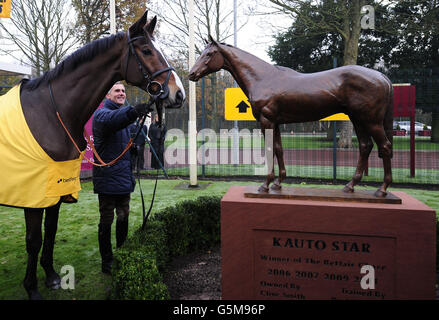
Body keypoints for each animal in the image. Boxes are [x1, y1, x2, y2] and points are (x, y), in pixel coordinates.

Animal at [0, 10, 186, 300]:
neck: (49, 113)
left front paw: (51, 275)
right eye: (146, 50)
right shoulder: (33, 195)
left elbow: (51, 231)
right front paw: (31, 288)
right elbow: (33, 240)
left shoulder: (56, 188)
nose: (179, 94)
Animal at [189, 37, 396, 198]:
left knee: (384, 146)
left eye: (209, 54)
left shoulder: (267, 121)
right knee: (365, 146)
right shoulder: (276, 123)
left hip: (371, 121)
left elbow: (270, 149)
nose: (192, 74)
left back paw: (382, 189)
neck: (263, 78)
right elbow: (279, 149)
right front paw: (278, 183)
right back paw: (350, 186)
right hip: (358, 120)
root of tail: (381, 76)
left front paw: (265, 185)